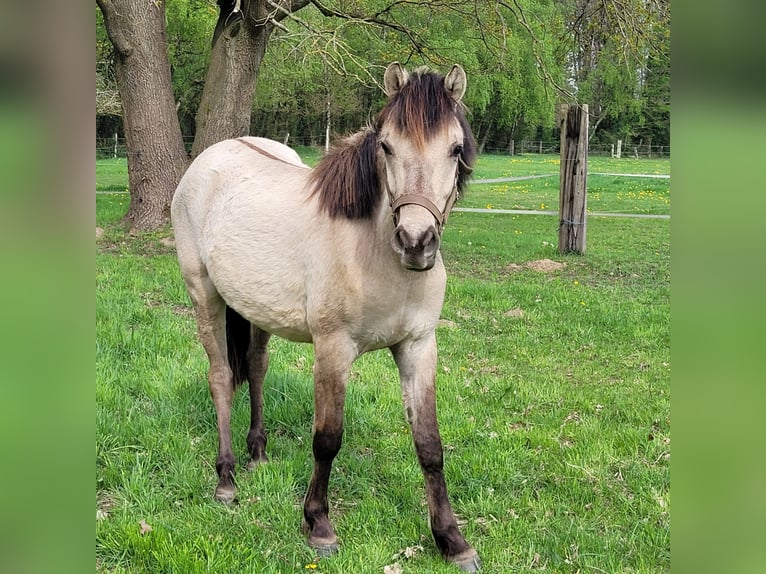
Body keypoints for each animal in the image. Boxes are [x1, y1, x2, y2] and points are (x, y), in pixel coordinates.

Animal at [171, 62, 480, 571]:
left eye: (455, 149)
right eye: (386, 146)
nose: (416, 242)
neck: (373, 252)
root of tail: (208, 159)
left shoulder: (418, 347)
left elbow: (430, 444)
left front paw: (452, 540)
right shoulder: (333, 349)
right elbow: (327, 438)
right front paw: (318, 524)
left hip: (255, 312)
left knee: (255, 368)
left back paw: (258, 454)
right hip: (205, 296)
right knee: (220, 378)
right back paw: (227, 478)